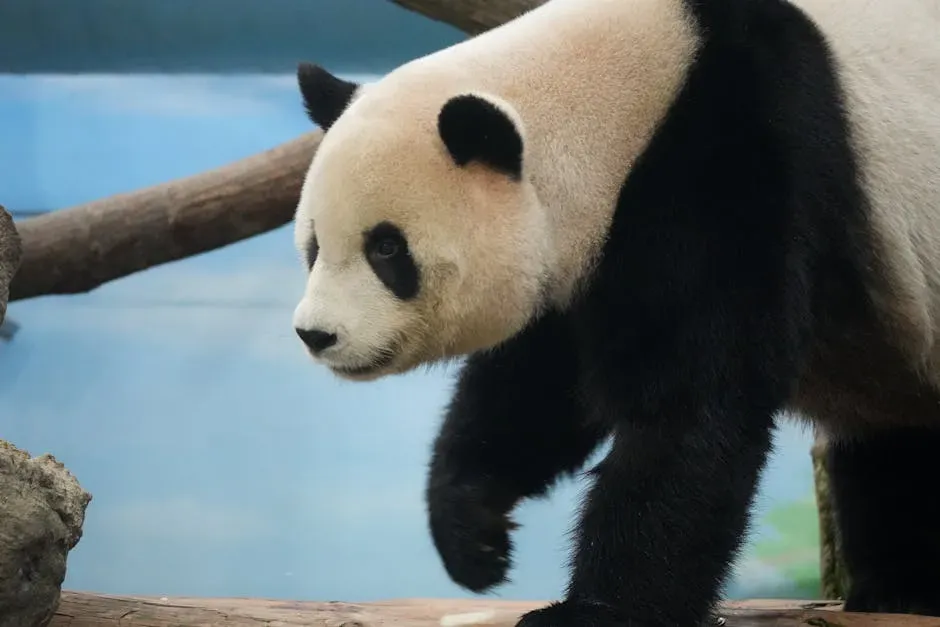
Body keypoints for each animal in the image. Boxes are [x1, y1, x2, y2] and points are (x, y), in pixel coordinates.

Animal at [290, 0, 940, 624]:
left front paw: (593, 612)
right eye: (314, 245)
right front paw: (474, 534)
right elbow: (538, 386)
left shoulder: (736, 154)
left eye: (387, 248)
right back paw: (898, 590)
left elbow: (691, 406)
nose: (315, 335)